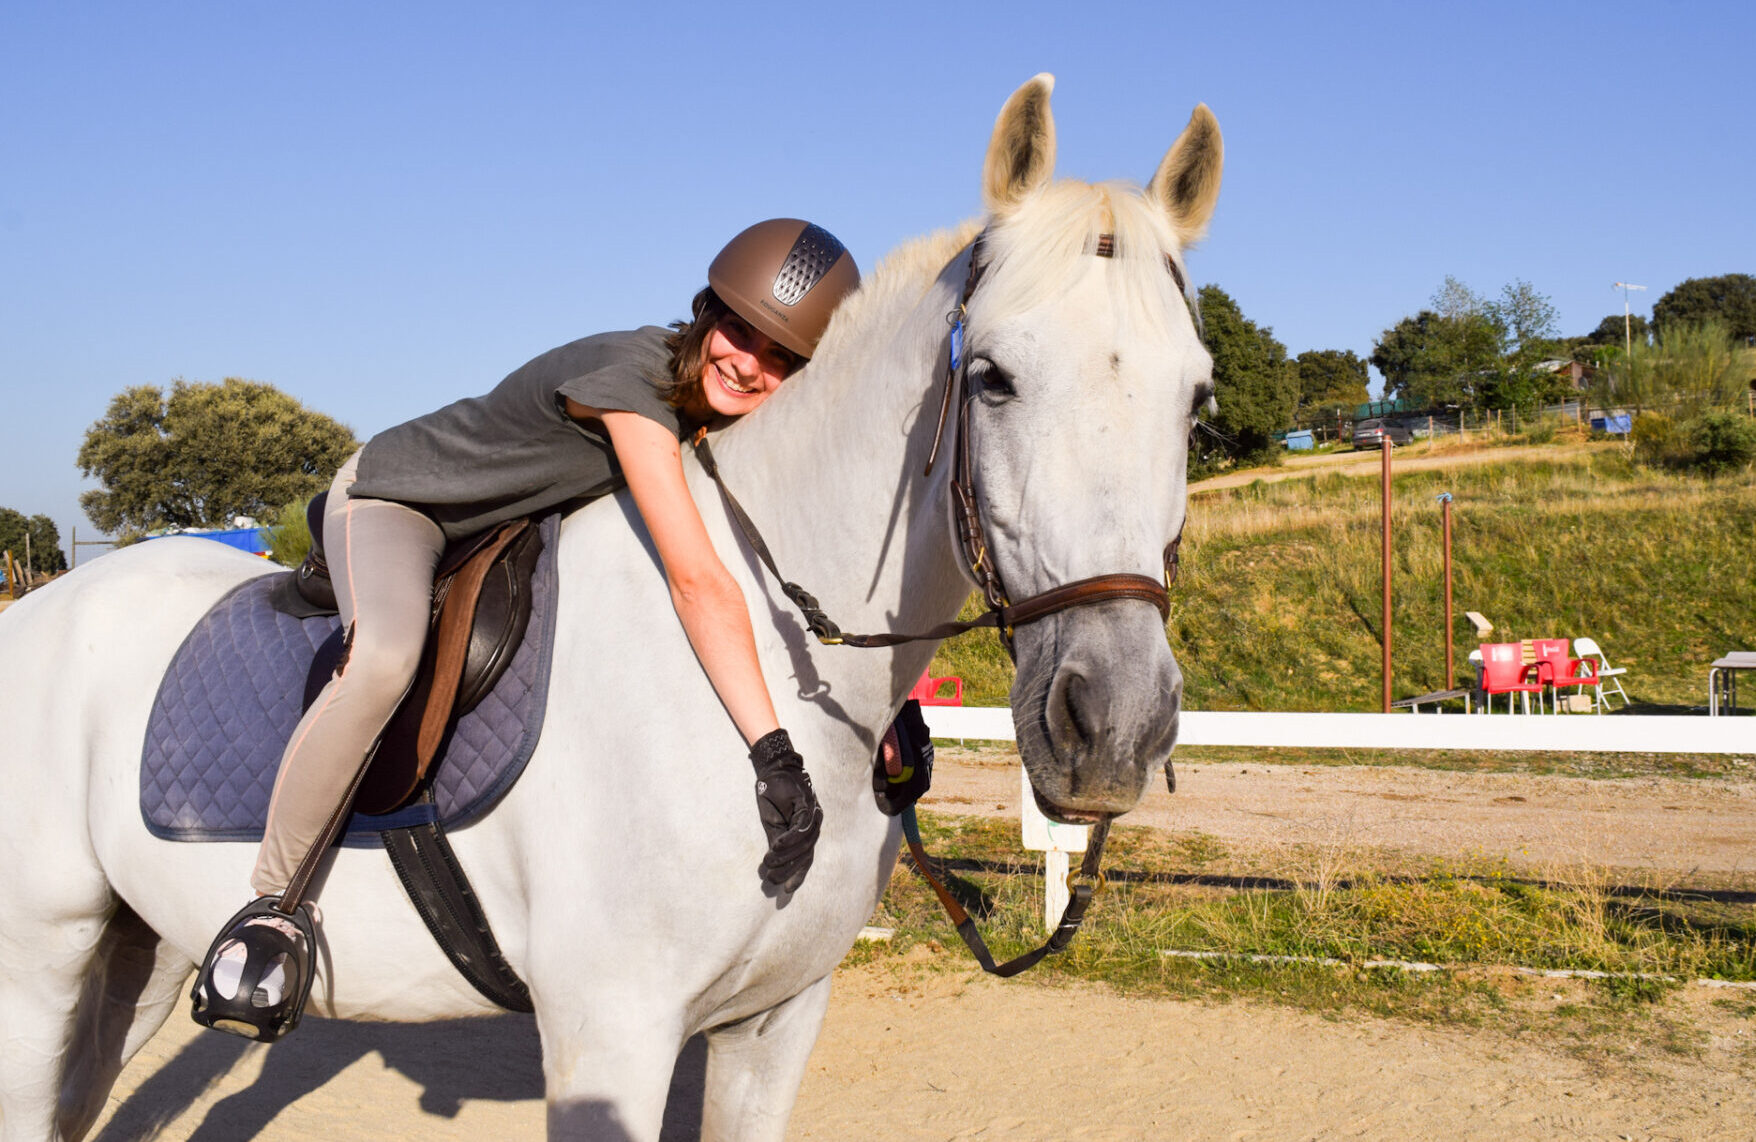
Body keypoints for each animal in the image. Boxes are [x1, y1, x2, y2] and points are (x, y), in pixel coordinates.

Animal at [0, 75, 1222, 1131]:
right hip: (38, 962)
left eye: (1197, 399)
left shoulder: (776, 1022)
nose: (1112, 725)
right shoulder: (612, 1035)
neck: (764, 678)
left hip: (139, 948)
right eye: (992, 377)